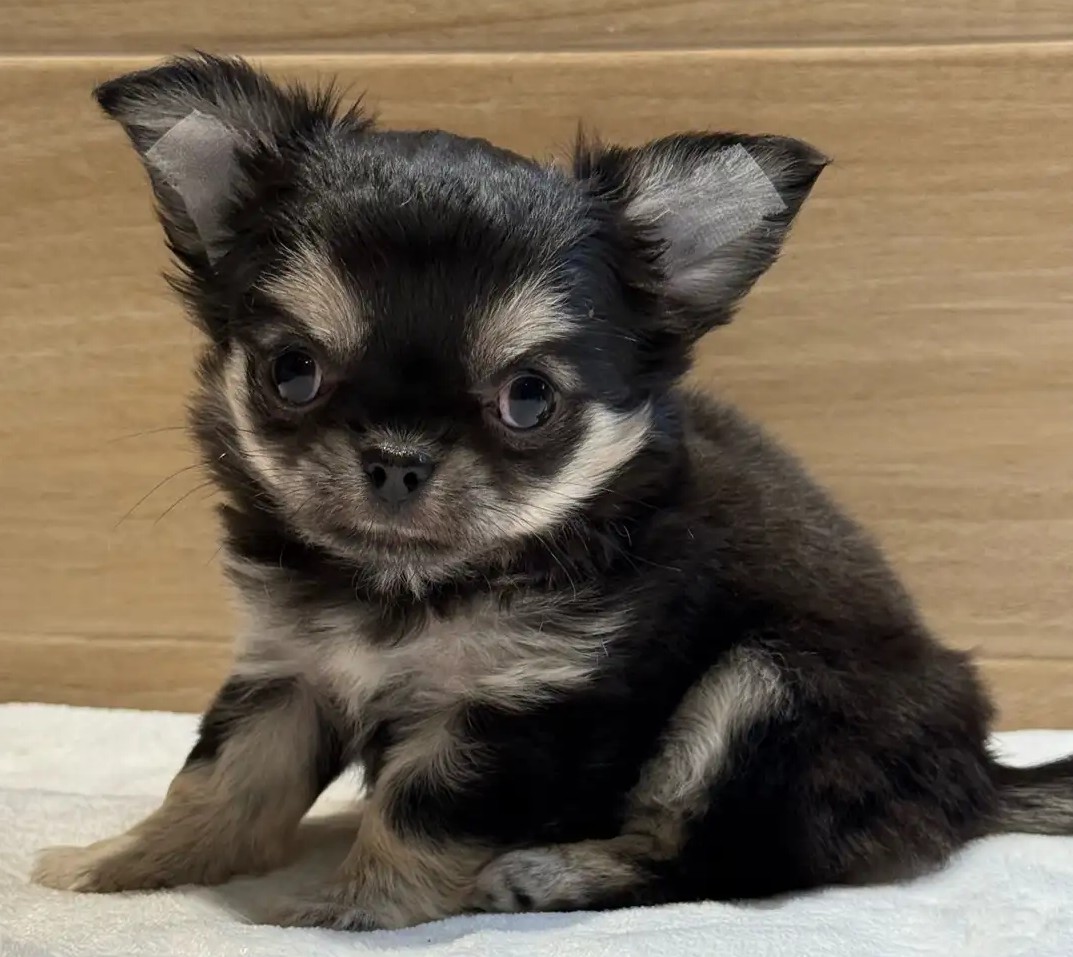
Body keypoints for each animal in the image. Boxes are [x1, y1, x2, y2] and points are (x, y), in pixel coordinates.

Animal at [31, 54, 1073, 930]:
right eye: (292, 373)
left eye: (528, 398)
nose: (398, 456)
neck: (408, 588)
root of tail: (979, 775)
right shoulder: (290, 670)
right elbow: (220, 782)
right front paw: (121, 861)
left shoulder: (530, 706)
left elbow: (423, 807)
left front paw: (349, 907)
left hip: (770, 685)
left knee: (725, 857)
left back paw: (559, 872)